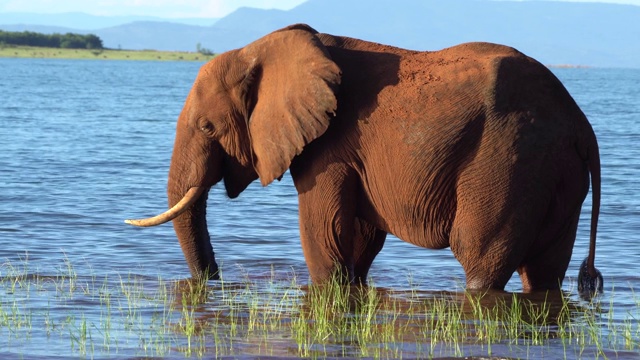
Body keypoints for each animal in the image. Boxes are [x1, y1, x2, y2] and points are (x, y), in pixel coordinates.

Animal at [126, 23, 604, 296]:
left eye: (208, 128)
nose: (214, 280)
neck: (259, 49)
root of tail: (581, 124)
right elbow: (358, 237)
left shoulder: (330, 146)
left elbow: (324, 232)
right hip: (555, 171)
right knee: (544, 270)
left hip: (509, 161)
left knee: (480, 256)